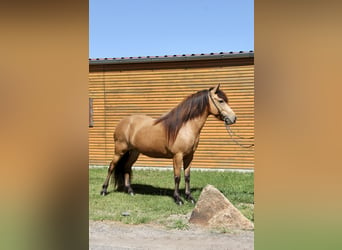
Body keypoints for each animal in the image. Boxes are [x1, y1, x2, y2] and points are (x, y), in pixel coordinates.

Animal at [100, 84, 236, 205]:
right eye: (221, 100)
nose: (233, 118)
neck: (184, 127)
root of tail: (122, 122)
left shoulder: (189, 156)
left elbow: (187, 176)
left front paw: (189, 197)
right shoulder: (177, 156)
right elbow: (177, 177)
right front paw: (178, 199)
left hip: (134, 152)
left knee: (127, 167)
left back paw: (130, 191)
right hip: (120, 150)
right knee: (111, 167)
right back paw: (104, 190)